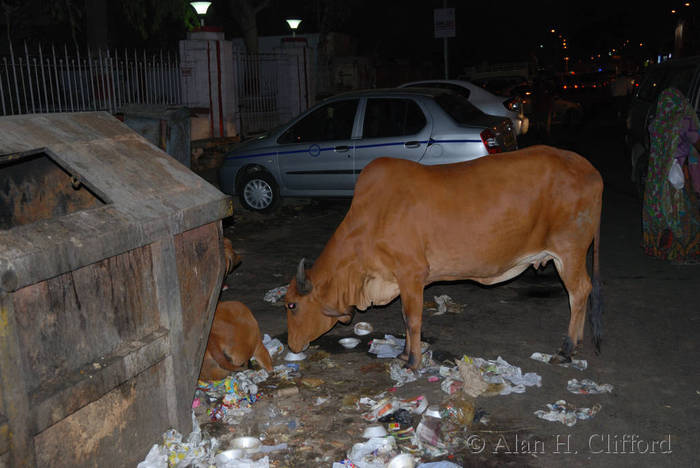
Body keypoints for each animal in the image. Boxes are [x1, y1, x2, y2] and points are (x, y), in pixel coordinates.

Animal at [284, 145, 603, 370]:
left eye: (292, 305)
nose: (292, 345)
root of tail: (589, 168)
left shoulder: (412, 273)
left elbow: (412, 319)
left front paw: (412, 361)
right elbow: (405, 319)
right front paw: (404, 354)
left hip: (569, 252)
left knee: (580, 291)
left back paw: (566, 349)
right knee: (583, 292)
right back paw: (577, 342)